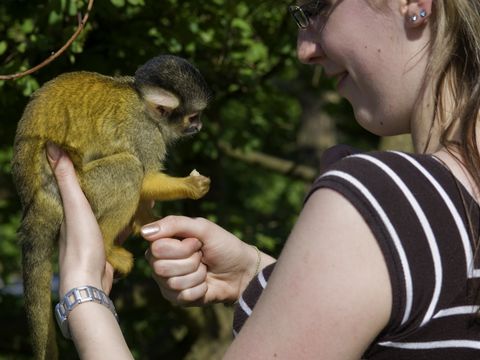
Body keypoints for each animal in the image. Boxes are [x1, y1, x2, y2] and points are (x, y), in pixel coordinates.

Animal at [11, 54, 212, 358]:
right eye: (193, 117)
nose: (198, 127)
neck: (144, 104)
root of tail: (33, 200)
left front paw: (145, 221)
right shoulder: (145, 133)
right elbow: (145, 177)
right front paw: (192, 187)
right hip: (81, 188)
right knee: (129, 169)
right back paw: (105, 247)